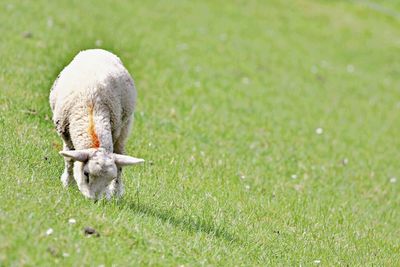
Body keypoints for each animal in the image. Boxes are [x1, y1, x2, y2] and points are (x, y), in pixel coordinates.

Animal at [49, 48, 144, 200]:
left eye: (109, 179)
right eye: (86, 174)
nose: (93, 200)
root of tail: (98, 50)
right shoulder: (65, 133)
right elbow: (69, 159)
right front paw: (68, 183)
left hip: (125, 126)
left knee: (120, 158)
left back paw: (116, 192)